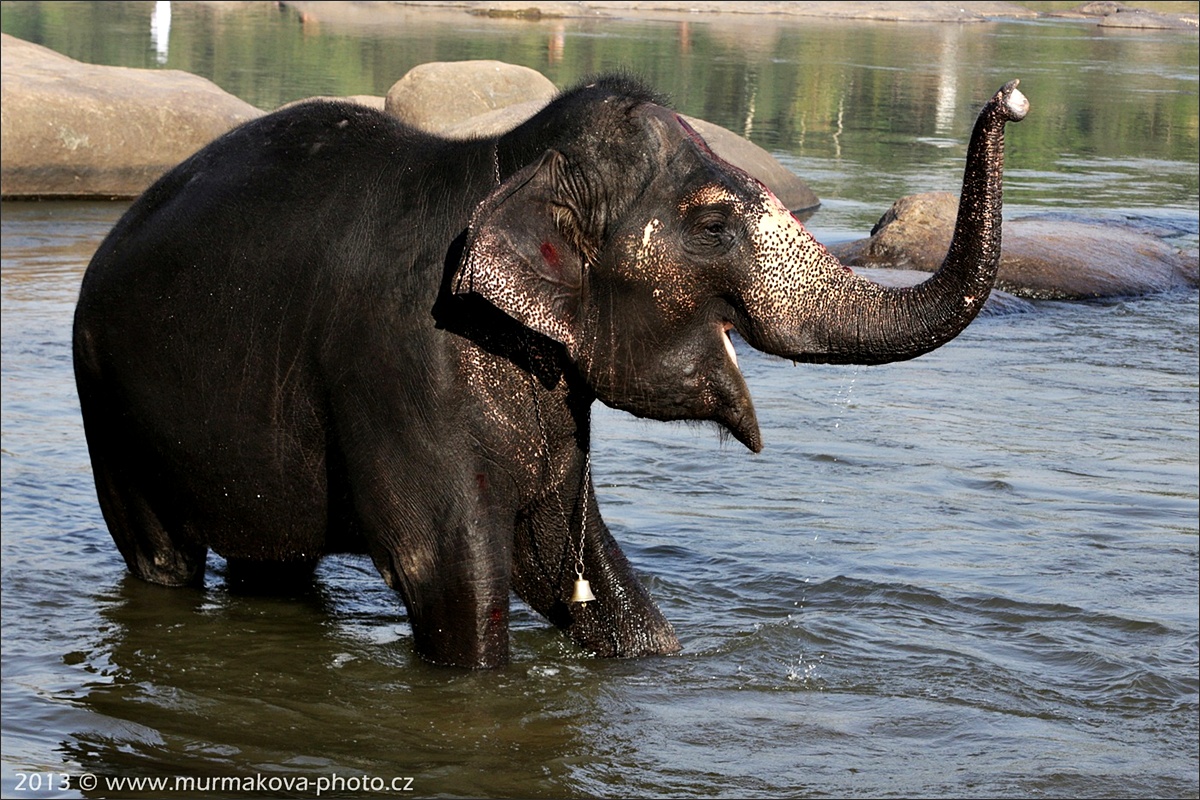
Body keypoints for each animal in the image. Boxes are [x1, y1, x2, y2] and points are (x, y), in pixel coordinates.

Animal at [72, 74, 1032, 666]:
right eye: (714, 223)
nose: (1010, 97)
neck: (510, 160)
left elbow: (566, 561)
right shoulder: (403, 363)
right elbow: (452, 576)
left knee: (274, 566)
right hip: (108, 405)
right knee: (161, 558)